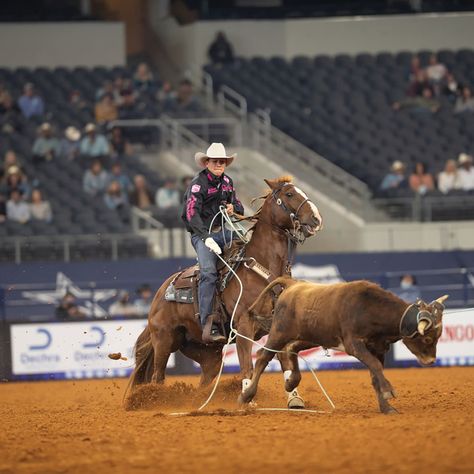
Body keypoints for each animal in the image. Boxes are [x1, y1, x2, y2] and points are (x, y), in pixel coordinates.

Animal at [128, 176, 324, 406]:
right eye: (290, 194)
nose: (316, 219)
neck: (262, 270)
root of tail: (160, 294)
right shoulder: (244, 326)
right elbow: (247, 365)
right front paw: (247, 399)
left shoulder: (279, 326)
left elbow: (285, 361)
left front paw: (294, 398)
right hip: (164, 340)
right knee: (158, 376)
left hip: (206, 351)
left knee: (204, 378)